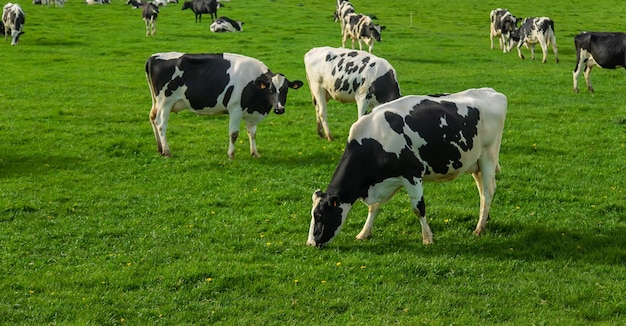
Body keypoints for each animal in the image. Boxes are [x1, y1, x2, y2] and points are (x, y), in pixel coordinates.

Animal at [145, 52, 304, 159]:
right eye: (271, 90)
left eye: (285, 90)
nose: (279, 109)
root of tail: (153, 57)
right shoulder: (235, 109)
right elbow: (234, 133)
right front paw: (231, 155)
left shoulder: (251, 112)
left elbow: (252, 133)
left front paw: (255, 153)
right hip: (165, 101)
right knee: (161, 124)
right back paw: (167, 151)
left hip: (157, 102)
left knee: (152, 118)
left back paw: (159, 149)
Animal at [308, 88, 508, 248]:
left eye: (319, 214)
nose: (310, 243)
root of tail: (491, 92)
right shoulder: (381, 182)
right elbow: (374, 207)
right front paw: (364, 233)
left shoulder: (412, 175)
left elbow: (418, 208)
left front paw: (427, 238)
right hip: (475, 163)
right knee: (482, 191)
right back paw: (485, 220)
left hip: (488, 156)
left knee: (488, 191)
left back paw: (479, 229)